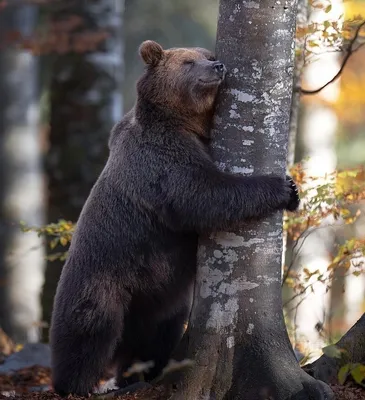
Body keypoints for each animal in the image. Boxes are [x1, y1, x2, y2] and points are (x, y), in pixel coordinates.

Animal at [49, 40, 298, 396]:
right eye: (188, 62)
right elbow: (200, 194)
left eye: (208, 56)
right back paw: (76, 383)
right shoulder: (161, 158)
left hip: (162, 299)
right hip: (102, 275)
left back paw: (138, 375)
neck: (183, 122)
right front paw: (284, 187)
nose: (218, 66)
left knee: (154, 338)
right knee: (89, 329)